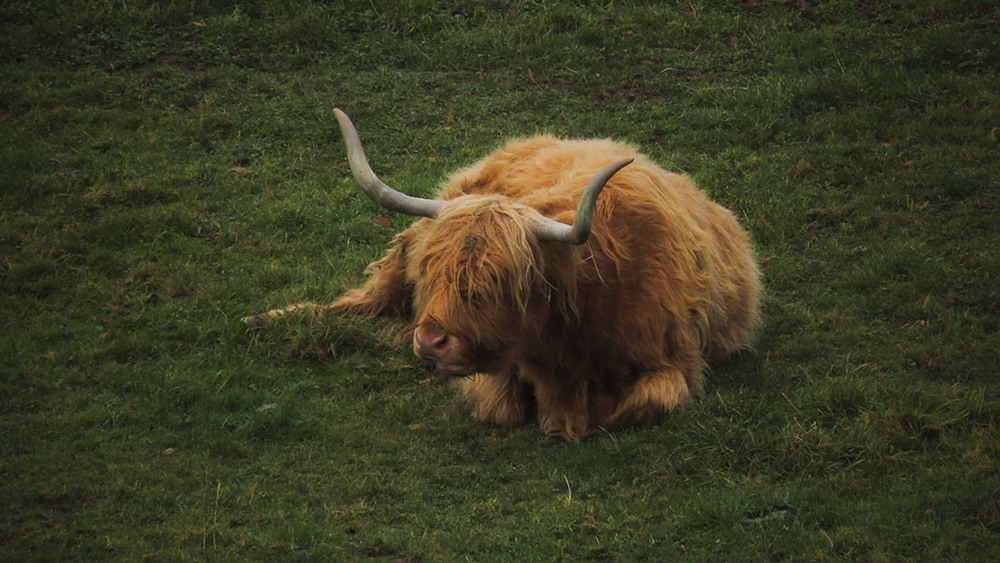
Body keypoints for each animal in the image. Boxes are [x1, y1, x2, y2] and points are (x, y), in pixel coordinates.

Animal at [246, 108, 760, 438]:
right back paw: (265, 319)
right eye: (430, 273)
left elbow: (641, 405)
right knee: (359, 302)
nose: (430, 341)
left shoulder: (677, 364)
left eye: (495, 283)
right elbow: (501, 407)